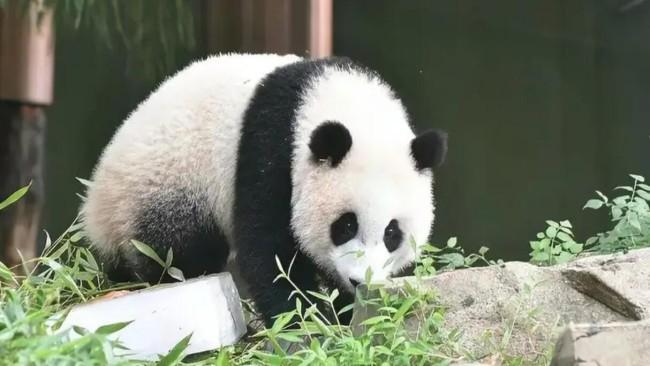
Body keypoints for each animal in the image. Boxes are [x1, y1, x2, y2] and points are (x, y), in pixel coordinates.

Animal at [81, 53, 446, 324]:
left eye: (392, 233)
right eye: (345, 225)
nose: (360, 281)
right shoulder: (270, 148)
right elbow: (268, 250)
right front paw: (304, 323)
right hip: (167, 186)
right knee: (176, 251)